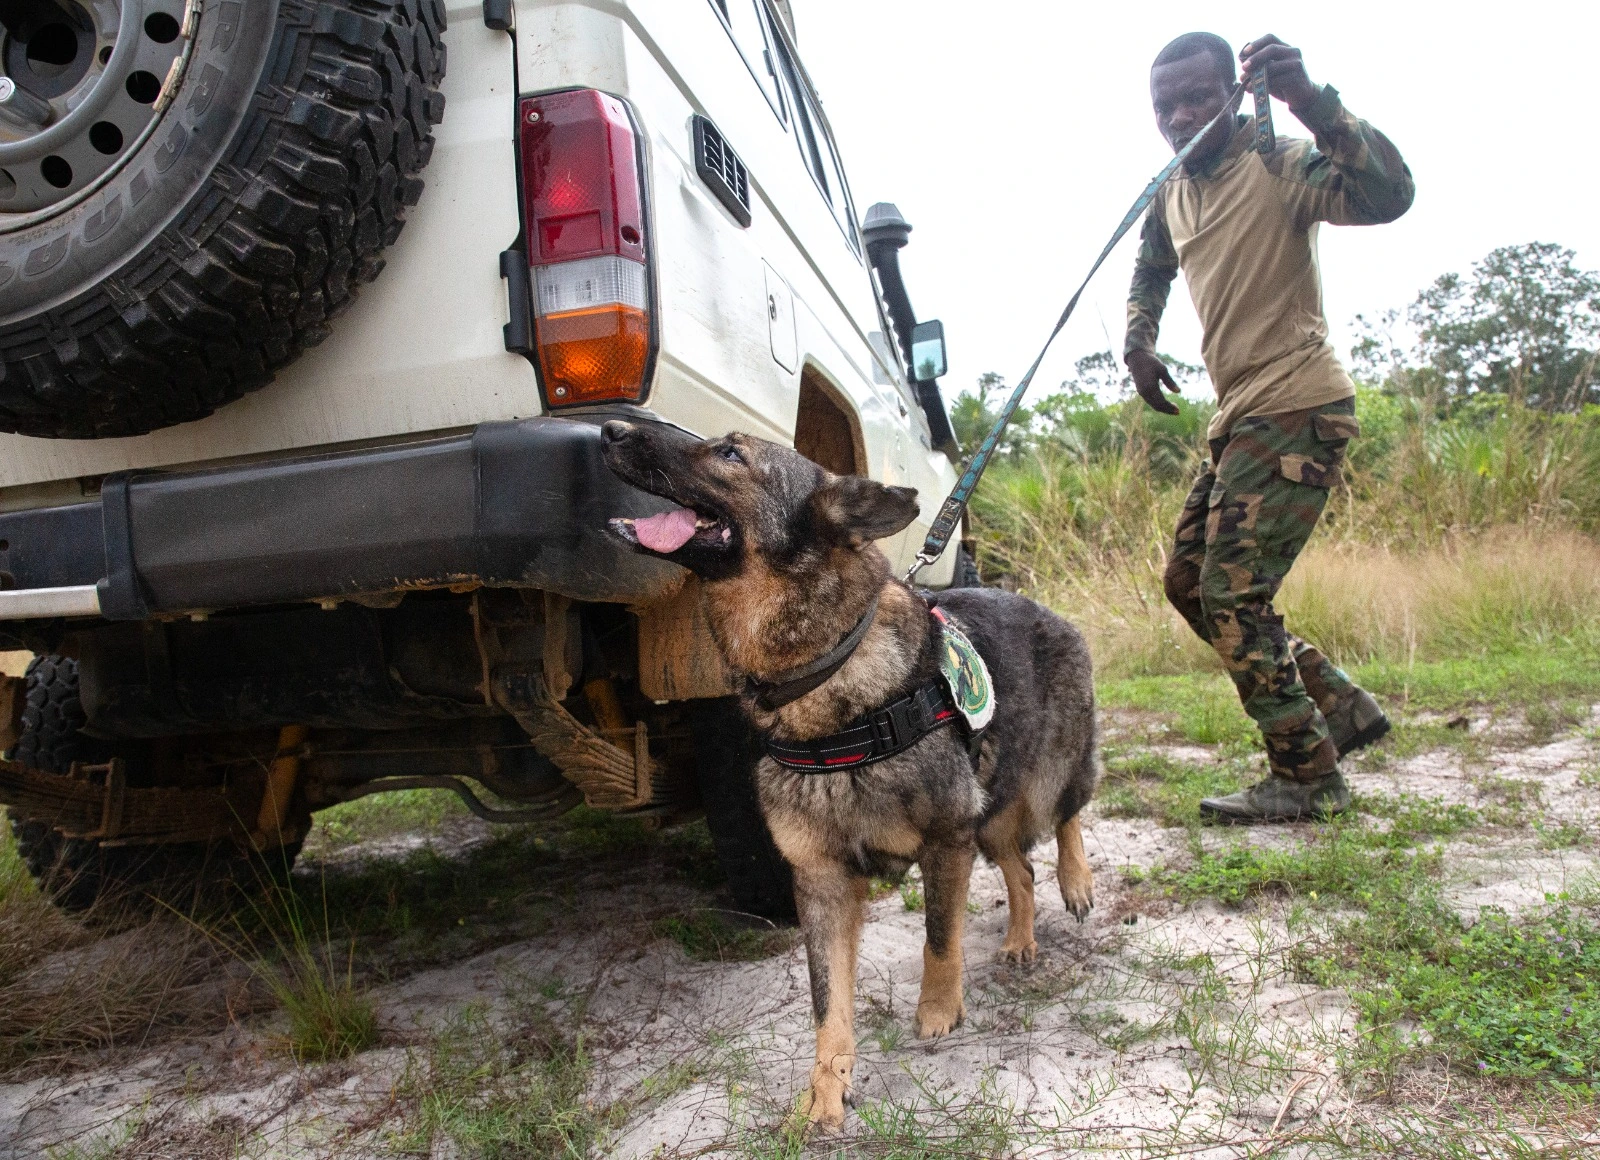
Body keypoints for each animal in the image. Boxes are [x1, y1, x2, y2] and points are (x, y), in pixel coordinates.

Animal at [601, 420, 1098, 1129]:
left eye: (730, 452)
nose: (610, 429)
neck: (824, 676)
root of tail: (1049, 610)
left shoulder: (945, 843)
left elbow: (939, 937)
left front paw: (938, 1011)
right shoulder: (823, 881)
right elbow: (826, 1001)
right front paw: (826, 1089)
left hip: (1040, 783)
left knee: (1068, 812)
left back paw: (1077, 881)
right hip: (990, 813)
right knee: (1021, 868)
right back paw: (1021, 939)